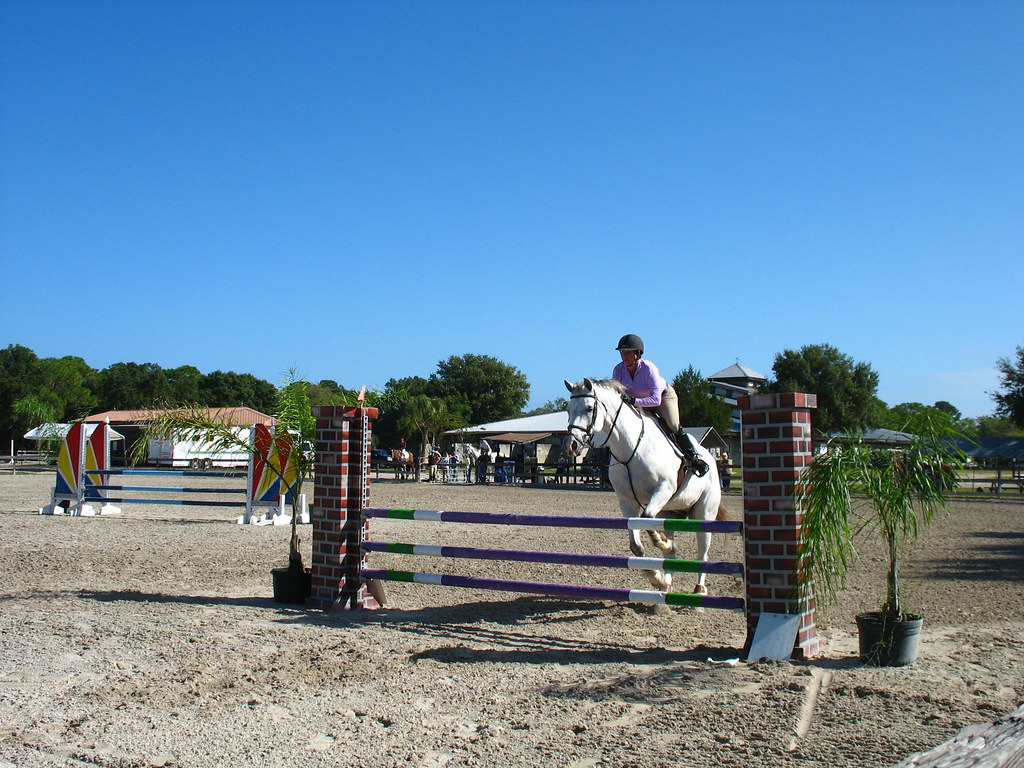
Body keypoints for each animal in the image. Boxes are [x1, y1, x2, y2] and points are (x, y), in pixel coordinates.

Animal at [563, 377, 727, 595]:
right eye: (568, 410)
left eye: (589, 408)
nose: (571, 445)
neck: (630, 447)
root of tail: (711, 457)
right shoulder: (627, 501)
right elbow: (636, 545)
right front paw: (655, 576)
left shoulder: (664, 488)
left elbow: (647, 517)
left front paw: (663, 544)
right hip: (670, 511)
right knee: (671, 555)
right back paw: (665, 583)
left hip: (704, 512)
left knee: (703, 552)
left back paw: (699, 588)